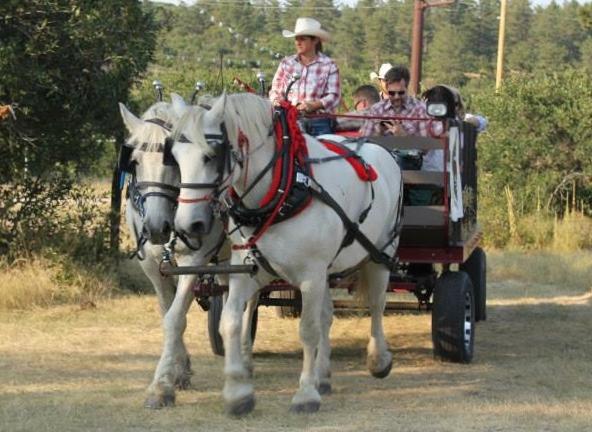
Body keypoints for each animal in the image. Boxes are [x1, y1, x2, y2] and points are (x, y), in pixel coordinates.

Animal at [171, 93, 402, 416]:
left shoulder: (310, 276)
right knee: (327, 315)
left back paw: (378, 359)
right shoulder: (249, 269)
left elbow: (307, 330)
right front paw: (238, 393)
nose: (187, 225)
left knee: (377, 304)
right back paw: (323, 375)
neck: (285, 188)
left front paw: (305, 394)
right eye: (174, 156)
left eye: (210, 155)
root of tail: (379, 148)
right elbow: (230, 321)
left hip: (381, 253)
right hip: (327, 269)